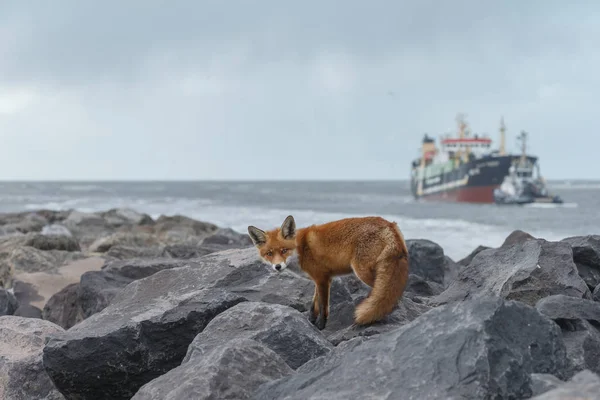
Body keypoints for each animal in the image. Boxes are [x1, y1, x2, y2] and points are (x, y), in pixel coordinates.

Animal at [246, 217, 410, 330]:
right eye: (269, 253)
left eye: (284, 250)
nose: (278, 266)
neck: (301, 249)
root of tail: (389, 224)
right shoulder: (319, 279)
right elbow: (314, 305)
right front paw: (310, 322)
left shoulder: (322, 279)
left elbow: (323, 305)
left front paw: (320, 327)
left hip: (363, 272)